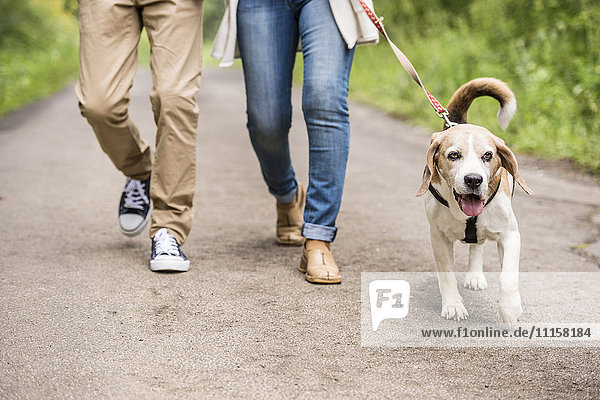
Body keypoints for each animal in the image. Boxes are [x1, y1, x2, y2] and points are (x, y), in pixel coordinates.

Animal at [418, 78, 536, 324]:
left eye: (488, 155)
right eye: (453, 155)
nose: (473, 180)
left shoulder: (511, 235)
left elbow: (508, 277)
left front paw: (510, 308)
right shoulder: (438, 236)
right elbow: (447, 275)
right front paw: (453, 305)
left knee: (478, 246)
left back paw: (475, 275)